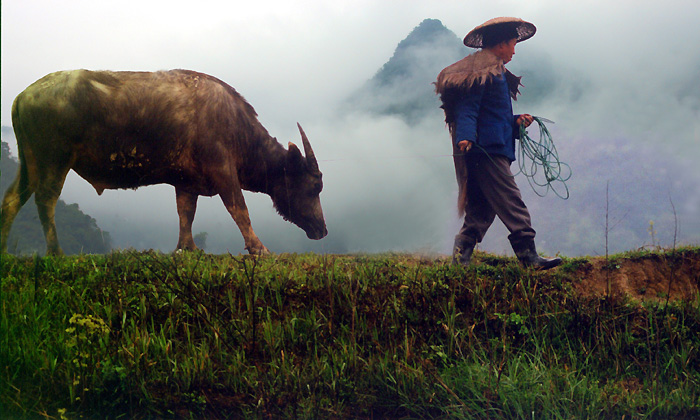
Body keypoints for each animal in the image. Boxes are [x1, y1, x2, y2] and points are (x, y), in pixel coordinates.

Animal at [0, 69, 328, 254]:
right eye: (314, 186)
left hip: (31, 162)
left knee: (13, 198)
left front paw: (188, 248)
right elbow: (239, 210)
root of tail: (22, 96)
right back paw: (56, 251)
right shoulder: (223, 171)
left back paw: (4, 249)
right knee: (46, 200)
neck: (235, 126)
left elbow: (186, 213)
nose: (323, 230)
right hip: (54, 160)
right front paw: (258, 248)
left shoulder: (186, 182)